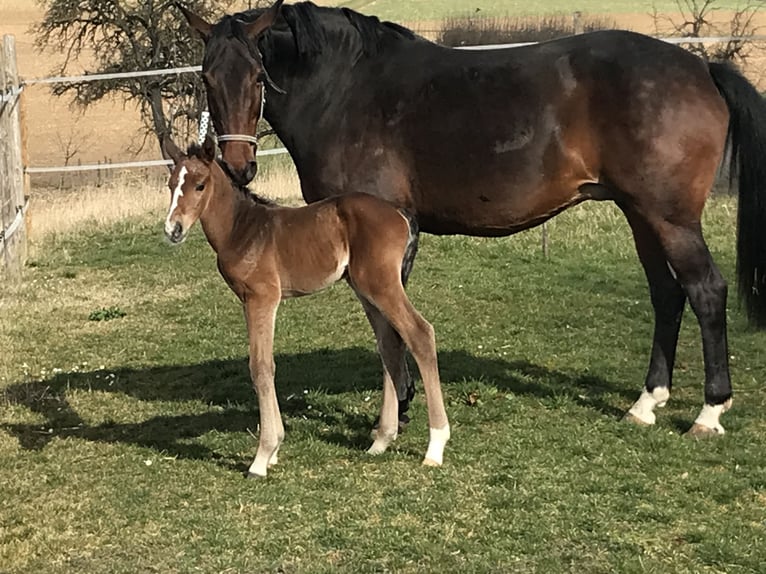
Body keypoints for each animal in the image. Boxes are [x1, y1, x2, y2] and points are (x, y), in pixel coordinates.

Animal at [160, 134, 450, 477]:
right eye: (170, 184)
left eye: (200, 185)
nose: (173, 230)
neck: (242, 229)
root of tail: (400, 213)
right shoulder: (252, 300)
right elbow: (265, 366)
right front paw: (273, 450)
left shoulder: (261, 298)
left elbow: (261, 367)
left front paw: (262, 457)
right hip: (366, 289)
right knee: (391, 345)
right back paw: (381, 440)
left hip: (381, 285)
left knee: (420, 333)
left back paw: (435, 446)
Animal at [179, 0, 766, 437]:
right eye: (207, 76)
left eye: (259, 74)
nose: (238, 165)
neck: (345, 89)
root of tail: (701, 69)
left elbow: (389, 325)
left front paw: (397, 414)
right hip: (640, 213)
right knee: (667, 294)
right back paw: (646, 403)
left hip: (671, 218)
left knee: (705, 290)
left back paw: (710, 411)